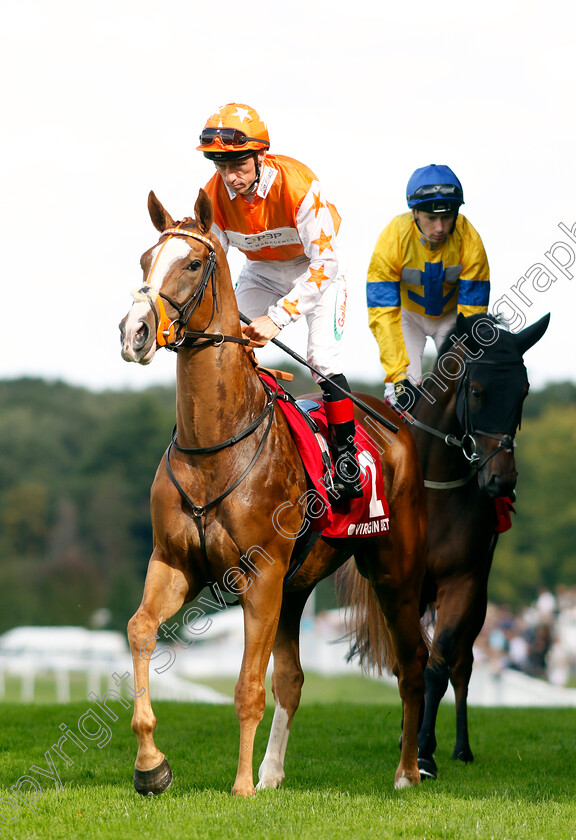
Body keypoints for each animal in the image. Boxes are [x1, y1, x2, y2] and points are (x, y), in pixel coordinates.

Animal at [119, 189, 430, 796]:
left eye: (192, 263)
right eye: (146, 260)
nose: (134, 332)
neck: (214, 446)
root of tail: (394, 425)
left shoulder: (259, 576)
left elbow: (246, 685)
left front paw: (239, 785)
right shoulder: (174, 562)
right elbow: (141, 629)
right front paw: (152, 765)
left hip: (394, 573)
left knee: (413, 664)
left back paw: (406, 772)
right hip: (297, 587)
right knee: (292, 677)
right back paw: (272, 774)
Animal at [342, 310, 548, 780]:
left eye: (524, 390)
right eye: (476, 390)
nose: (501, 480)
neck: (434, 488)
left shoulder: (464, 581)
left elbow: (438, 664)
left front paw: (424, 751)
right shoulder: (401, 585)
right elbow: (407, 659)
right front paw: (410, 741)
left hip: (481, 601)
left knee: (463, 665)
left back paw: (460, 747)